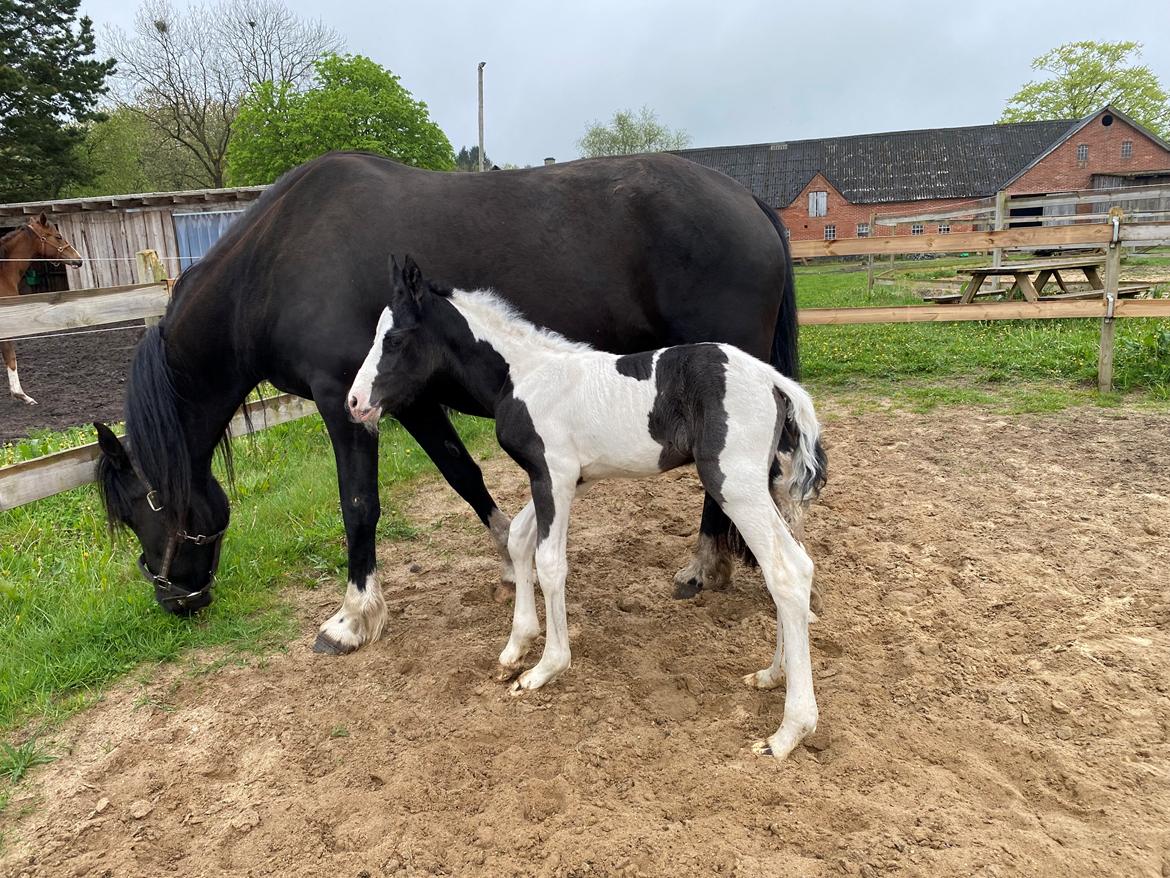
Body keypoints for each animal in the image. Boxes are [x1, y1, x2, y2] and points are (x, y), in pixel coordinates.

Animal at [95, 151, 800, 655]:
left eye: (136, 512)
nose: (175, 600)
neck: (274, 264)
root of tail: (748, 199)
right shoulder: (404, 400)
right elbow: (463, 475)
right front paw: (511, 563)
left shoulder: (342, 403)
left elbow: (359, 506)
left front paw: (352, 617)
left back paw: (703, 565)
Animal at [351, 257, 828, 758]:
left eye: (394, 339)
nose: (354, 403)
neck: (523, 376)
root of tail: (774, 381)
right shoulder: (564, 479)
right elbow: (520, 539)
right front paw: (515, 647)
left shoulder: (554, 475)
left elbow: (550, 562)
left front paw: (545, 668)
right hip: (759, 484)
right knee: (795, 563)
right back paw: (771, 674)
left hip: (734, 484)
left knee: (786, 571)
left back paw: (788, 732)